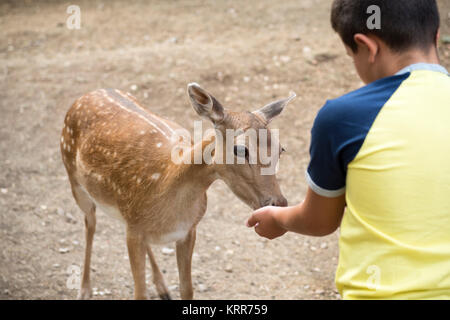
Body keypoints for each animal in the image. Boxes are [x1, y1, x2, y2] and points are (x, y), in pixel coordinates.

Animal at [59, 83, 296, 300]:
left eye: (281, 149)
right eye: (240, 149)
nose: (279, 203)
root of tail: (89, 93)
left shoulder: (187, 230)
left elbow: (187, 289)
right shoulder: (134, 229)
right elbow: (139, 293)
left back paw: (162, 287)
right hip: (73, 177)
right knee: (90, 224)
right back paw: (84, 290)